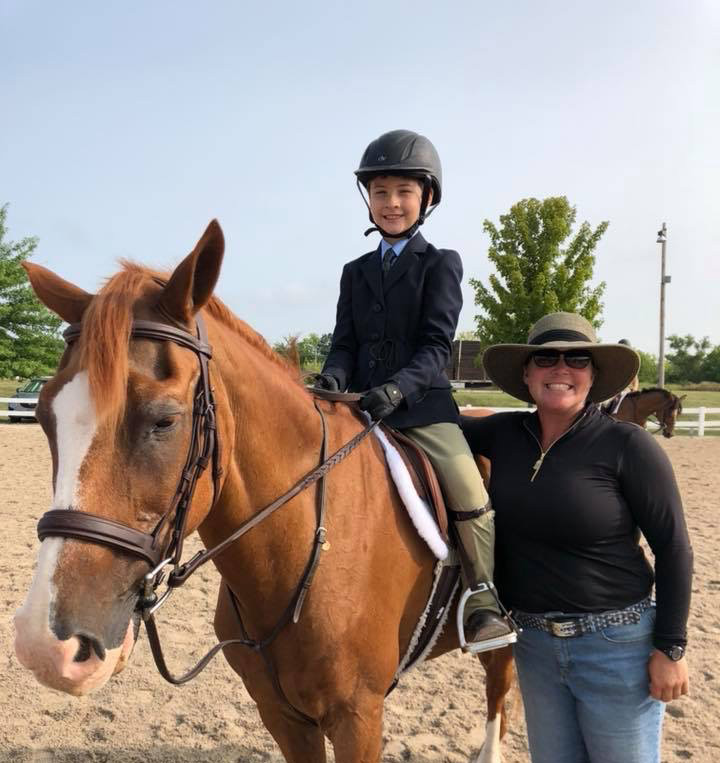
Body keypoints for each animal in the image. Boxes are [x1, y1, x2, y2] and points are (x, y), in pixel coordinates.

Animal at [14, 222, 516, 763]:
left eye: (164, 420)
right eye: (44, 417)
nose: (45, 648)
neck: (307, 547)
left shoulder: (359, 716)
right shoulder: (281, 714)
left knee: (499, 680)